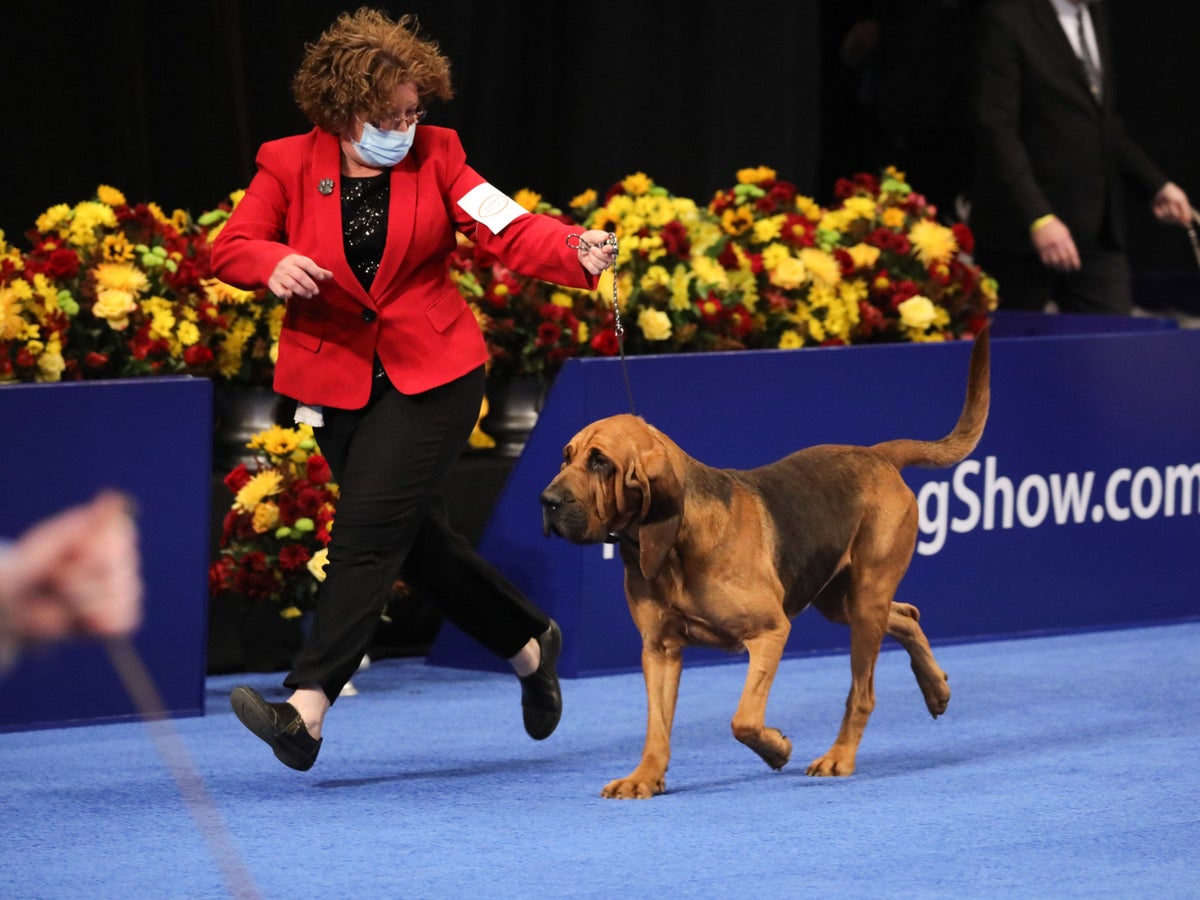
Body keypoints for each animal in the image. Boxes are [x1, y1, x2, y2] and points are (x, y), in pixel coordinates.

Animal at [540, 328, 988, 801]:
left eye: (600, 462)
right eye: (566, 456)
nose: (546, 501)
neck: (676, 544)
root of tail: (876, 455)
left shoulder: (770, 632)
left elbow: (744, 720)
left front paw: (776, 749)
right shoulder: (659, 649)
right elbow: (657, 726)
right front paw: (645, 776)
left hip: (866, 599)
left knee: (862, 692)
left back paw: (840, 757)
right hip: (840, 599)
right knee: (906, 615)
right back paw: (936, 688)